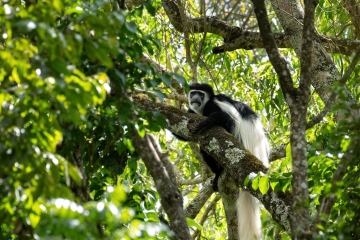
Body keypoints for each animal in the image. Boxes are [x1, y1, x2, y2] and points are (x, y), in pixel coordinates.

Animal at [181, 83, 268, 240]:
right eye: (193, 93)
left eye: (200, 94)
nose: (195, 98)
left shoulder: (213, 105)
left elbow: (228, 119)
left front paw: (209, 121)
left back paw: (220, 172)